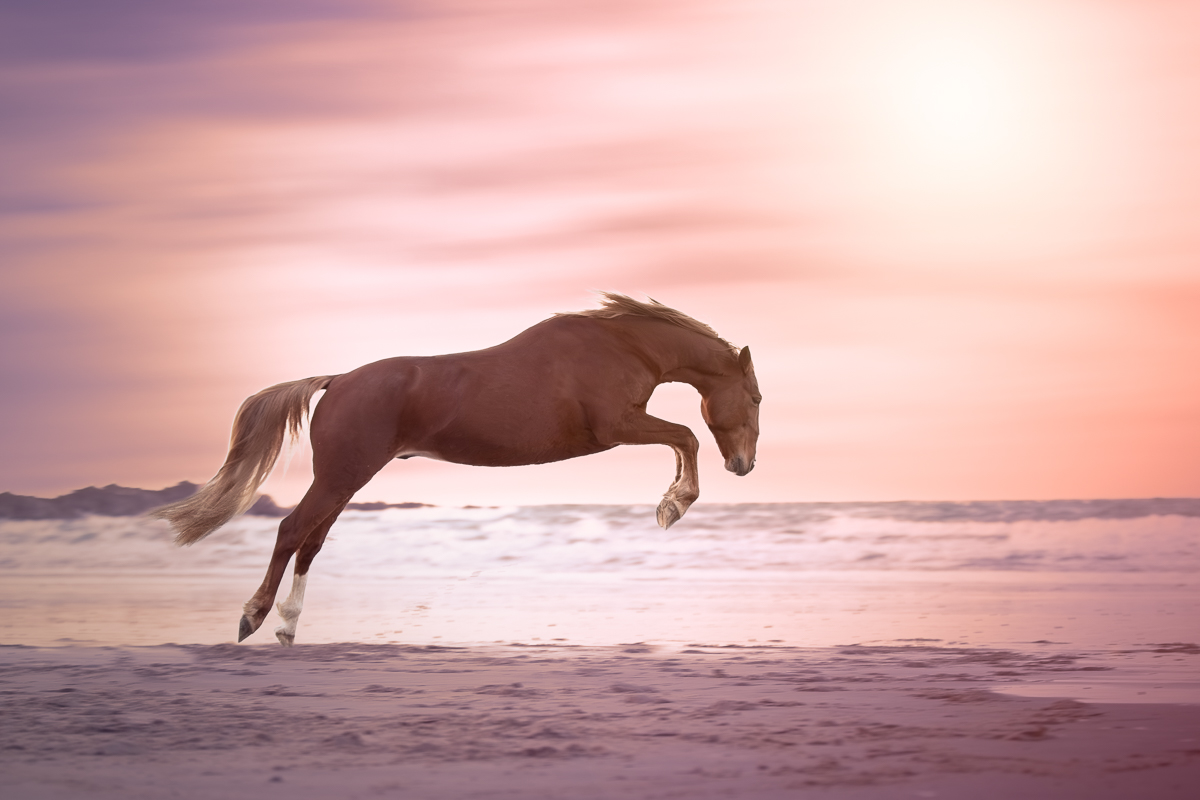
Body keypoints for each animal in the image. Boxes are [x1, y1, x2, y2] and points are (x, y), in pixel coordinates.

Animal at [152, 293, 761, 646]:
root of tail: (337, 380)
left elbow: (681, 438)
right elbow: (685, 436)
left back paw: (287, 625)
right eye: (754, 396)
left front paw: (671, 502)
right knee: (291, 531)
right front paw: (673, 506)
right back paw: (254, 618)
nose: (744, 465)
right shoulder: (616, 426)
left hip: (346, 481)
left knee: (312, 542)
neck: (622, 346)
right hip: (340, 477)